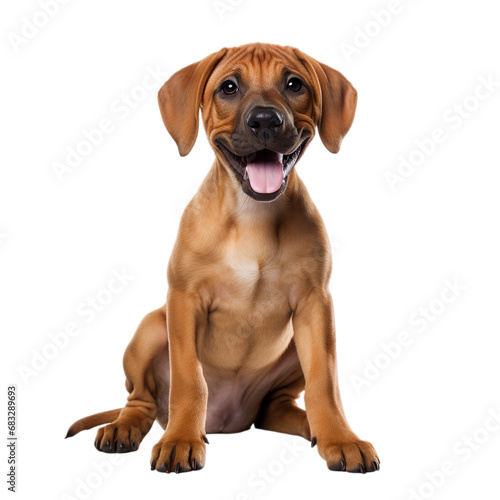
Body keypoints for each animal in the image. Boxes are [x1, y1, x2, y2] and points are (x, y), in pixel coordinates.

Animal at [65, 42, 378, 472]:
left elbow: (324, 383)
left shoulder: (316, 304)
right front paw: (180, 439)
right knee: (139, 400)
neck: (253, 218)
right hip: (151, 328)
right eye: (229, 87)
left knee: (276, 408)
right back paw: (125, 428)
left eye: (294, 84)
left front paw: (340, 438)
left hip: (293, 350)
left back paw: (309, 426)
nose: (265, 121)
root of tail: (227, 421)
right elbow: (189, 380)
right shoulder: (183, 300)